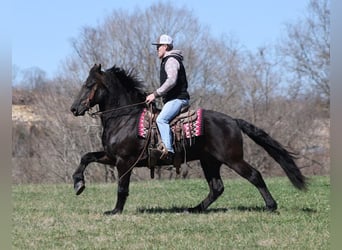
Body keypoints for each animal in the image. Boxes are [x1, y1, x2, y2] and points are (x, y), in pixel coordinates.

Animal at [70, 63, 308, 214]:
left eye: (89, 85)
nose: (74, 109)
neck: (124, 117)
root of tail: (233, 120)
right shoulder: (111, 157)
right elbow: (86, 157)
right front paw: (78, 183)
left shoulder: (124, 161)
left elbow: (122, 188)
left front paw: (115, 211)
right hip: (210, 161)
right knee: (217, 187)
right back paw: (194, 209)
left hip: (233, 159)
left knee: (254, 176)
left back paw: (271, 206)